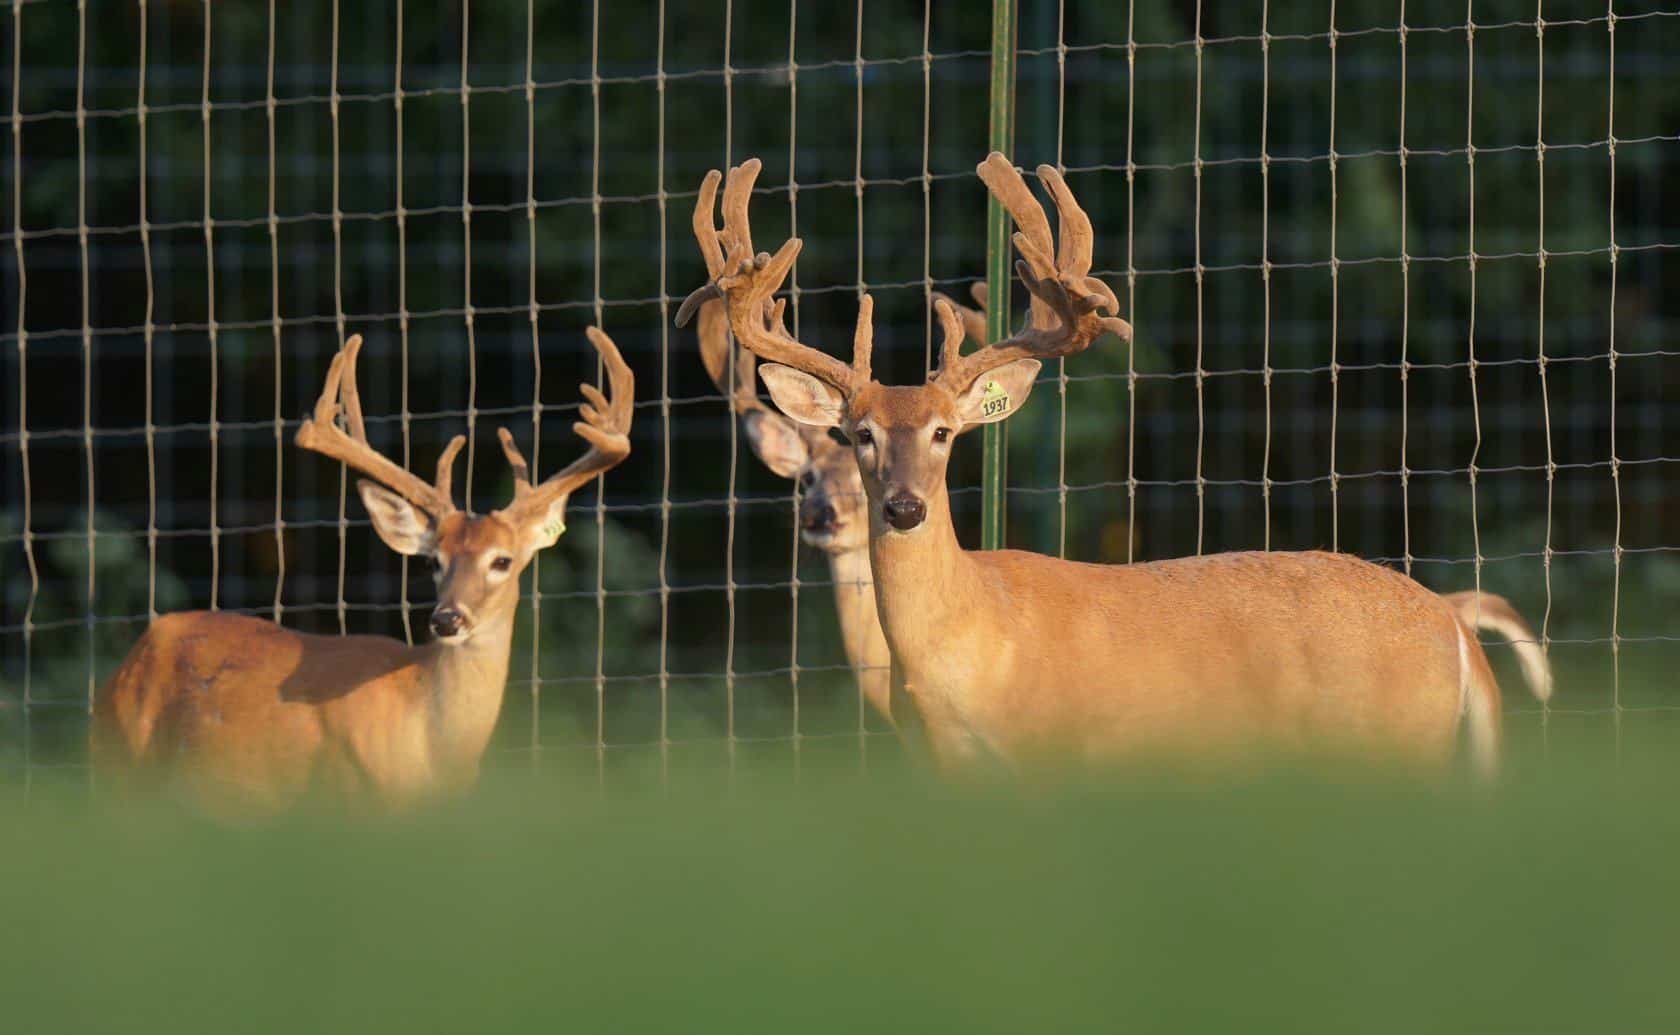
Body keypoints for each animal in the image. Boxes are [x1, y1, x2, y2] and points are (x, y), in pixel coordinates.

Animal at [92, 327, 634, 808]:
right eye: (433, 561)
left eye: (501, 560)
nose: (447, 619)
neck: (433, 749)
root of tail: (126, 662)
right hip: (121, 771)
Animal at [680, 152, 1551, 777]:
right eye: (856, 432)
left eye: (944, 433)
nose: (900, 507)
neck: (972, 646)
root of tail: (1452, 624)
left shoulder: (1058, 754)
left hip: (1393, 744)